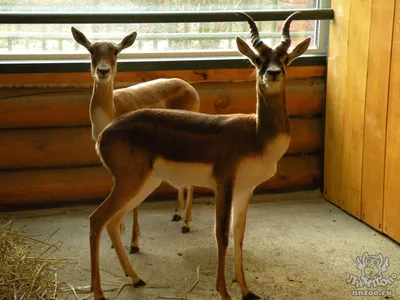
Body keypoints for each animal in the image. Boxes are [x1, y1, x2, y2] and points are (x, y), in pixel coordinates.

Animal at [70, 27, 200, 253]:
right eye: (91, 50)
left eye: (115, 51)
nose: (103, 71)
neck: (112, 112)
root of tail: (190, 87)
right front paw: (118, 237)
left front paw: (134, 243)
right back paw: (177, 214)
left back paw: (186, 224)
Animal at [90, 11, 310, 300]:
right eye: (257, 59)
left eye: (285, 58)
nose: (272, 74)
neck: (256, 135)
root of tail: (104, 133)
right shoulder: (224, 184)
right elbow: (222, 235)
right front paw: (225, 292)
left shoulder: (245, 189)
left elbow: (239, 235)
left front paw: (247, 289)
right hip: (131, 183)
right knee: (97, 219)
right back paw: (100, 292)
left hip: (144, 184)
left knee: (113, 222)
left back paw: (136, 278)